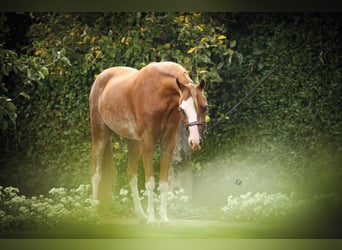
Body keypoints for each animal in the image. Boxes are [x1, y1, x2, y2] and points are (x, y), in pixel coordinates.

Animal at [89, 61, 207, 224]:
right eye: (182, 109)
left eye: (204, 107)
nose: (195, 142)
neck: (158, 94)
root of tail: (101, 77)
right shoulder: (147, 143)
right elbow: (150, 182)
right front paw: (152, 219)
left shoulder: (168, 143)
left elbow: (163, 184)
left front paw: (163, 218)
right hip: (100, 134)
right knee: (96, 174)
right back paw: (93, 212)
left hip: (133, 143)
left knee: (131, 175)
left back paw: (141, 215)